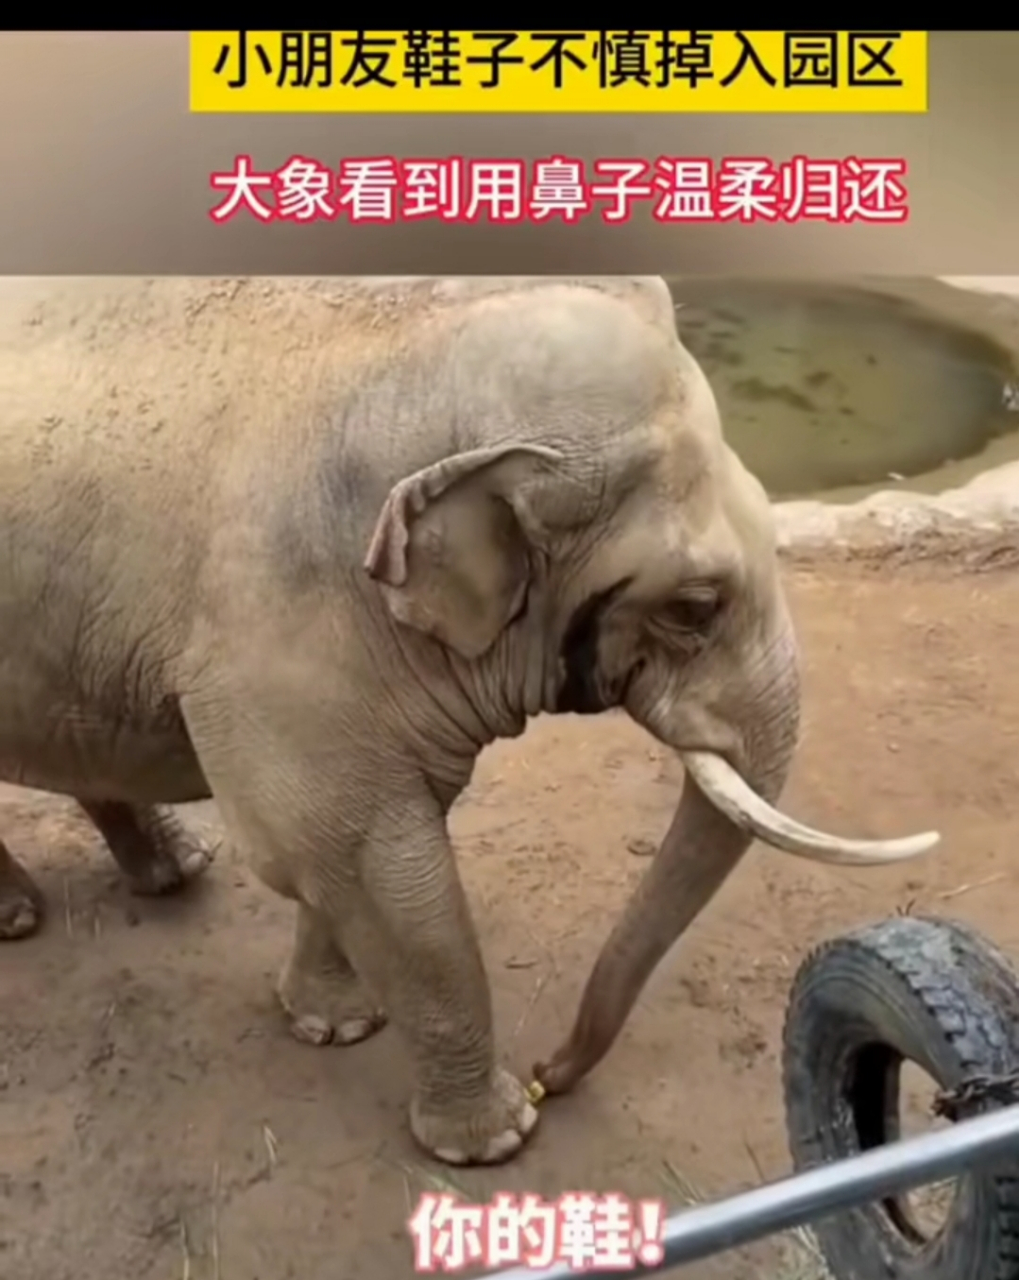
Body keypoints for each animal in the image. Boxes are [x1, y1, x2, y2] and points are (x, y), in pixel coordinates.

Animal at [0, 274, 938, 1165]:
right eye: (694, 605)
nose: (549, 1072)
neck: (428, 358)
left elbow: (345, 852)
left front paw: (336, 1026)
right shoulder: (273, 625)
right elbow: (356, 855)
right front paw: (494, 1141)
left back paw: (173, 871)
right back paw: (24, 920)